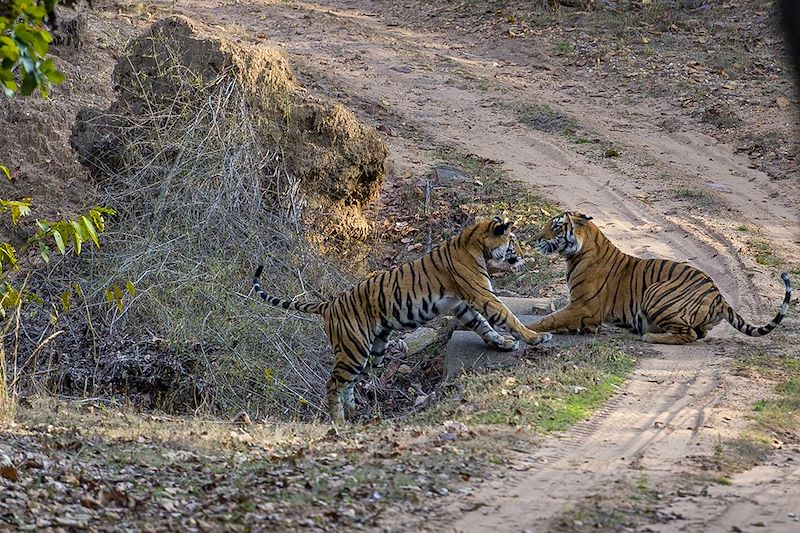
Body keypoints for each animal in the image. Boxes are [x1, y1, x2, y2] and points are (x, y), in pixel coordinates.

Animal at [253, 216, 552, 420]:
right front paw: (535, 337)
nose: (523, 256)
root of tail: (330, 304)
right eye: (513, 242)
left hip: (371, 351)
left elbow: (484, 326)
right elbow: (507, 316)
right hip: (353, 348)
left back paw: (351, 413)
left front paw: (503, 343)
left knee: (348, 382)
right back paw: (338, 420)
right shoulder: (482, 296)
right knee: (333, 382)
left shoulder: (461, 305)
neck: (475, 243)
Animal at [524, 212, 792, 344]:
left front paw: (529, 329)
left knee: (689, 335)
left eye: (556, 227)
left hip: (655, 292)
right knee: (698, 333)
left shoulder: (584, 307)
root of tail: (719, 296)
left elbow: (549, 319)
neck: (577, 253)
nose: (535, 238)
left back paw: (649, 336)